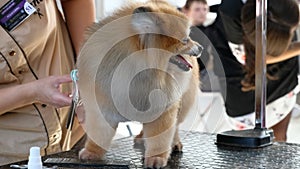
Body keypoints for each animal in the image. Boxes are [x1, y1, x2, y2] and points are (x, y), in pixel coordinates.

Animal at [77, 0, 202, 168]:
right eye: (185, 40)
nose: (201, 47)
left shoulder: (163, 108)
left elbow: (160, 137)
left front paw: (156, 158)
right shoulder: (102, 107)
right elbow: (99, 133)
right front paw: (92, 152)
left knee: (175, 126)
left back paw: (174, 143)